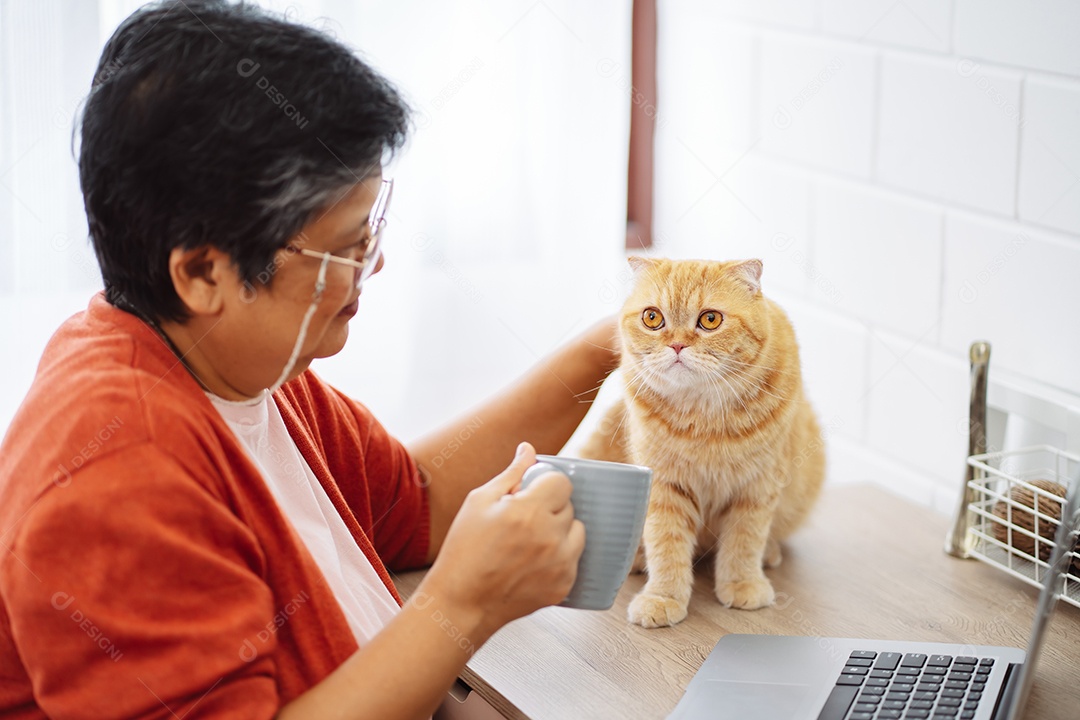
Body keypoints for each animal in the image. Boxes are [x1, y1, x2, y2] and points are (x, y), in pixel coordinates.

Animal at [583, 255, 825, 626]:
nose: (677, 345)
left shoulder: (757, 486)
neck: (704, 418)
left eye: (710, 320)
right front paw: (663, 597)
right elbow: (665, 545)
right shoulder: (664, 487)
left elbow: (744, 541)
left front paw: (741, 583)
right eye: (652, 318)